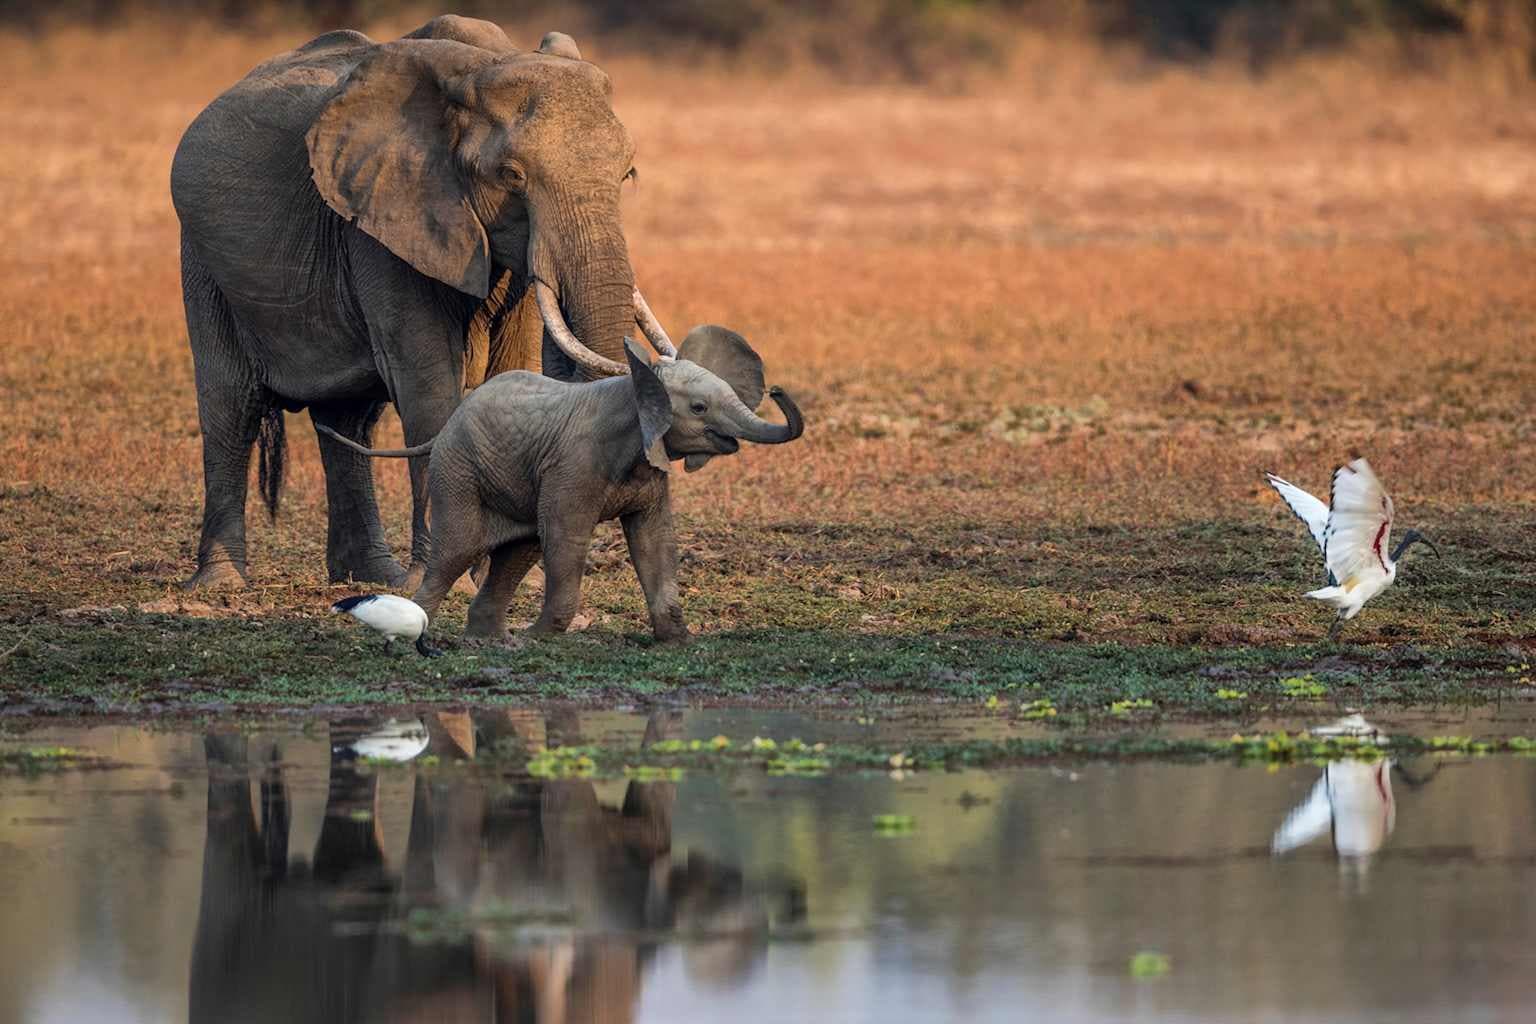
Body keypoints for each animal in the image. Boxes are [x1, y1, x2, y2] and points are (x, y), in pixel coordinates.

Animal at [171, 14, 679, 592]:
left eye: (628, 174)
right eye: (512, 176)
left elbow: (512, 365)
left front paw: (510, 581)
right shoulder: (383, 219)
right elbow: (427, 381)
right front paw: (451, 585)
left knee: (349, 421)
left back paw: (371, 577)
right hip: (203, 258)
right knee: (231, 405)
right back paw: (220, 584)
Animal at [316, 326, 804, 642]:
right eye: (699, 408)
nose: (779, 390)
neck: (636, 385)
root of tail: (448, 425)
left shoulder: (649, 469)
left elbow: (655, 541)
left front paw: (678, 642)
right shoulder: (574, 465)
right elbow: (566, 538)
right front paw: (541, 638)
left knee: (519, 550)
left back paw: (492, 641)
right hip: (456, 470)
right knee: (459, 550)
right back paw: (433, 628)